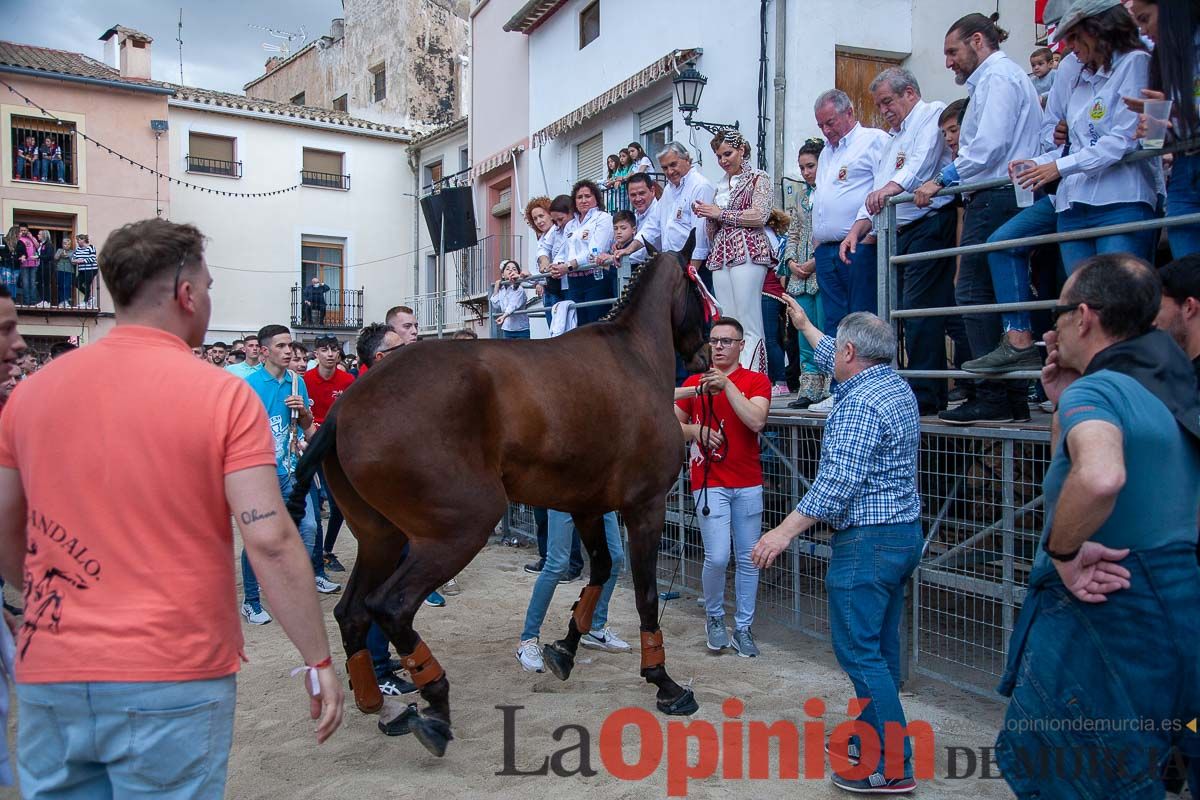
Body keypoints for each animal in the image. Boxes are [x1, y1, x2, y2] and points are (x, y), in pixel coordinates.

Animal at [290, 232, 710, 758]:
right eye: (702, 284)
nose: (707, 355)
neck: (631, 355)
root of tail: (345, 406)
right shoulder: (645, 508)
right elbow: (647, 595)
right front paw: (663, 681)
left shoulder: (588, 509)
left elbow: (599, 571)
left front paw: (564, 648)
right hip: (461, 527)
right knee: (391, 607)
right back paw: (434, 703)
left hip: (381, 537)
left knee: (352, 613)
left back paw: (380, 704)